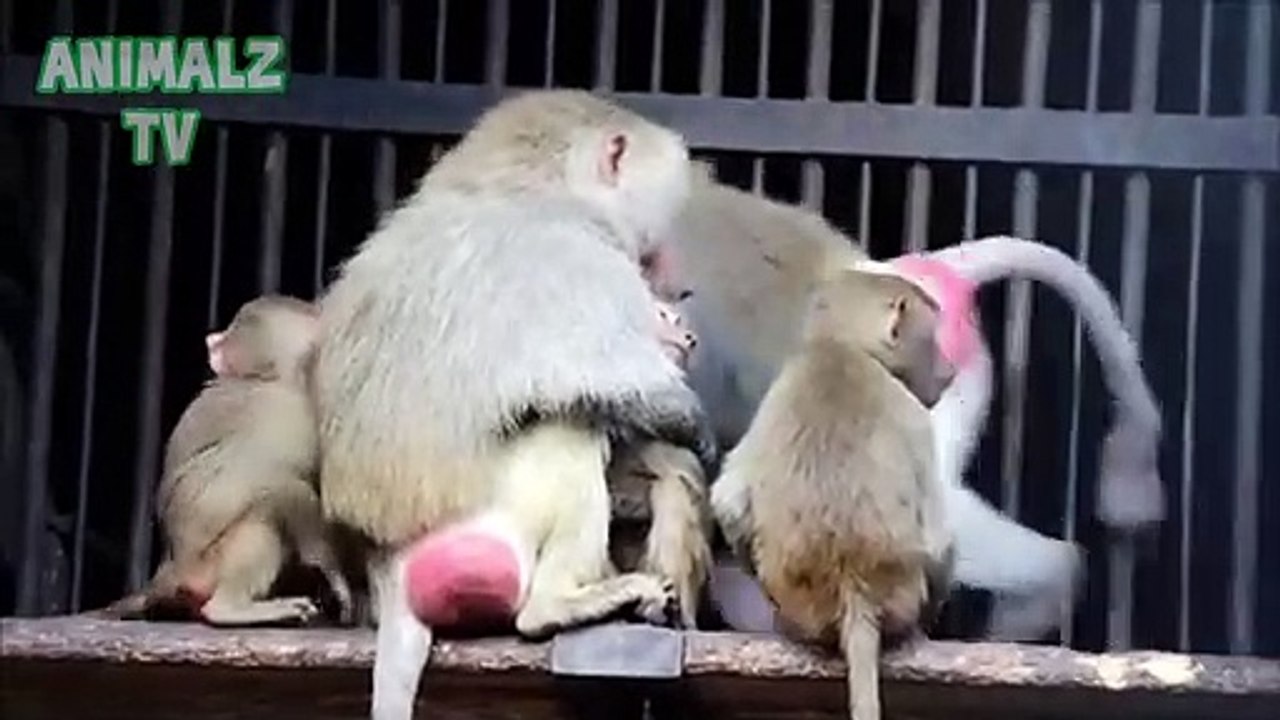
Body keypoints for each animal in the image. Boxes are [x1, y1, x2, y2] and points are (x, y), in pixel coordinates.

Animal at [95, 295, 353, 626]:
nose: (214, 346)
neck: (264, 378)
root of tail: (170, 569)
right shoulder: (289, 417)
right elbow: (286, 488)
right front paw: (331, 571)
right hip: (205, 567)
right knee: (265, 513)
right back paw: (230, 609)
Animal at [308, 90, 715, 720]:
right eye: (648, 259)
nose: (673, 284)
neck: (515, 185)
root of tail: (388, 563)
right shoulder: (575, 260)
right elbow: (621, 382)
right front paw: (696, 431)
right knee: (569, 432)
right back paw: (563, 605)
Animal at [710, 268, 956, 720]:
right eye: (932, 339)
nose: (948, 370)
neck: (841, 348)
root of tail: (852, 586)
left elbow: (730, 501)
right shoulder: (913, 416)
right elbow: (939, 537)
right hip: (902, 595)